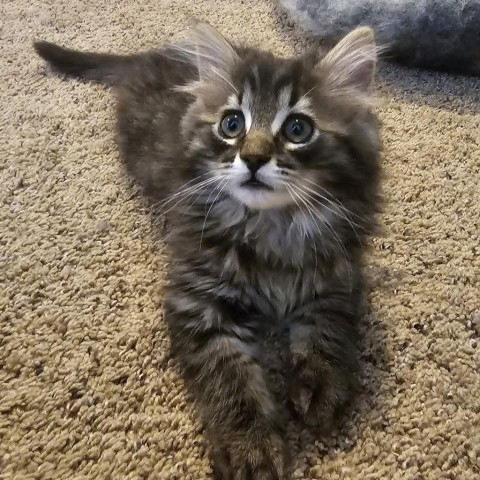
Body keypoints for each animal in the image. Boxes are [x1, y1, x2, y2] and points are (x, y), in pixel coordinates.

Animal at [34, 23, 382, 480]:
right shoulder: (199, 300)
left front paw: (323, 383)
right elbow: (229, 375)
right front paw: (252, 445)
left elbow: (327, 329)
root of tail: (156, 53)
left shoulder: (338, 277)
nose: (253, 158)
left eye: (298, 129)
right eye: (232, 124)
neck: (272, 227)